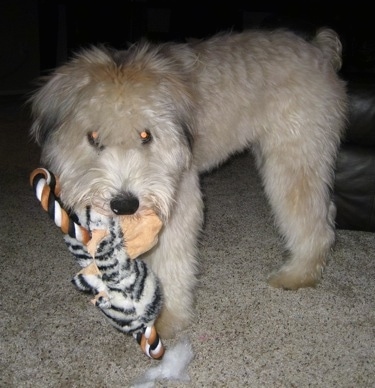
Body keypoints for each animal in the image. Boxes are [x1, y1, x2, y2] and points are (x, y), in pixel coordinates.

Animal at [29, 27, 350, 338]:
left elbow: (171, 265)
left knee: (314, 223)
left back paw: (298, 274)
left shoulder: (178, 201)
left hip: (292, 161)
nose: (125, 205)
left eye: (146, 135)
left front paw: (164, 317)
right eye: (93, 137)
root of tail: (319, 48)